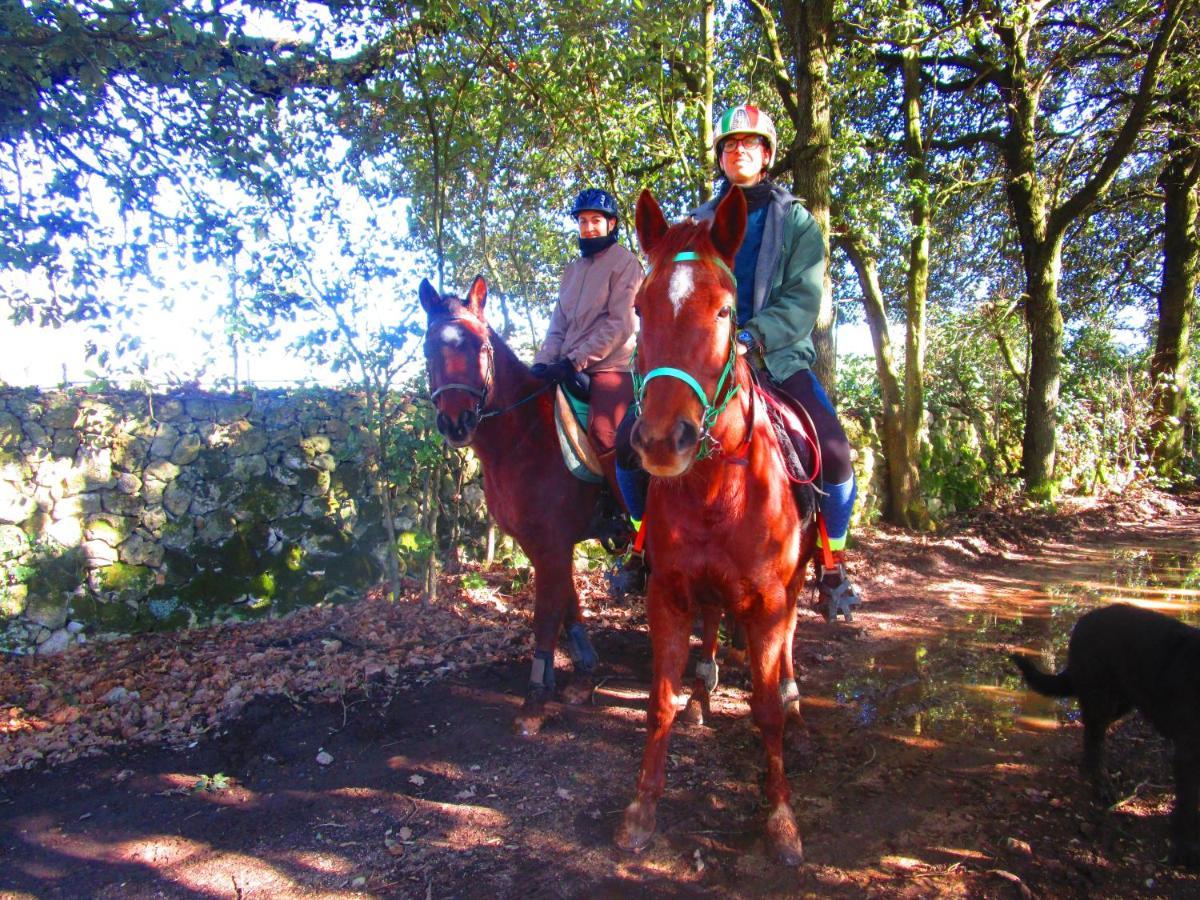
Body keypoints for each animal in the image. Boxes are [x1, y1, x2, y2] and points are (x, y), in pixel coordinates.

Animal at [422, 278, 609, 734]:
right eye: (429, 348)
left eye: (481, 346)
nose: (456, 422)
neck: (525, 436)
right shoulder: (541, 543)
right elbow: (568, 607)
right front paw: (583, 677)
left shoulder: (552, 543)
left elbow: (546, 614)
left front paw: (535, 699)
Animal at [614, 188, 820, 868]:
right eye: (640, 307)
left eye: (728, 311)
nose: (661, 440)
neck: (714, 489)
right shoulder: (667, 594)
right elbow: (659, 703)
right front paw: (642, 808)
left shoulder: (768, 599)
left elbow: (765, 710)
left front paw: (781, 819)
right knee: (710, 626)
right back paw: (703, 692)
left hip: (794, 585)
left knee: (789, 644)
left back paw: (796, 704)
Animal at [1012, 607, 1200, 868]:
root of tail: (1085, 620)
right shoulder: (1188, 752)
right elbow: (1188, 804)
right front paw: (1185, 849)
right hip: (1104, 698)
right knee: (1094, 737)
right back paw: (1099, 783)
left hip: (1121, 701)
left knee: (1092, 735)